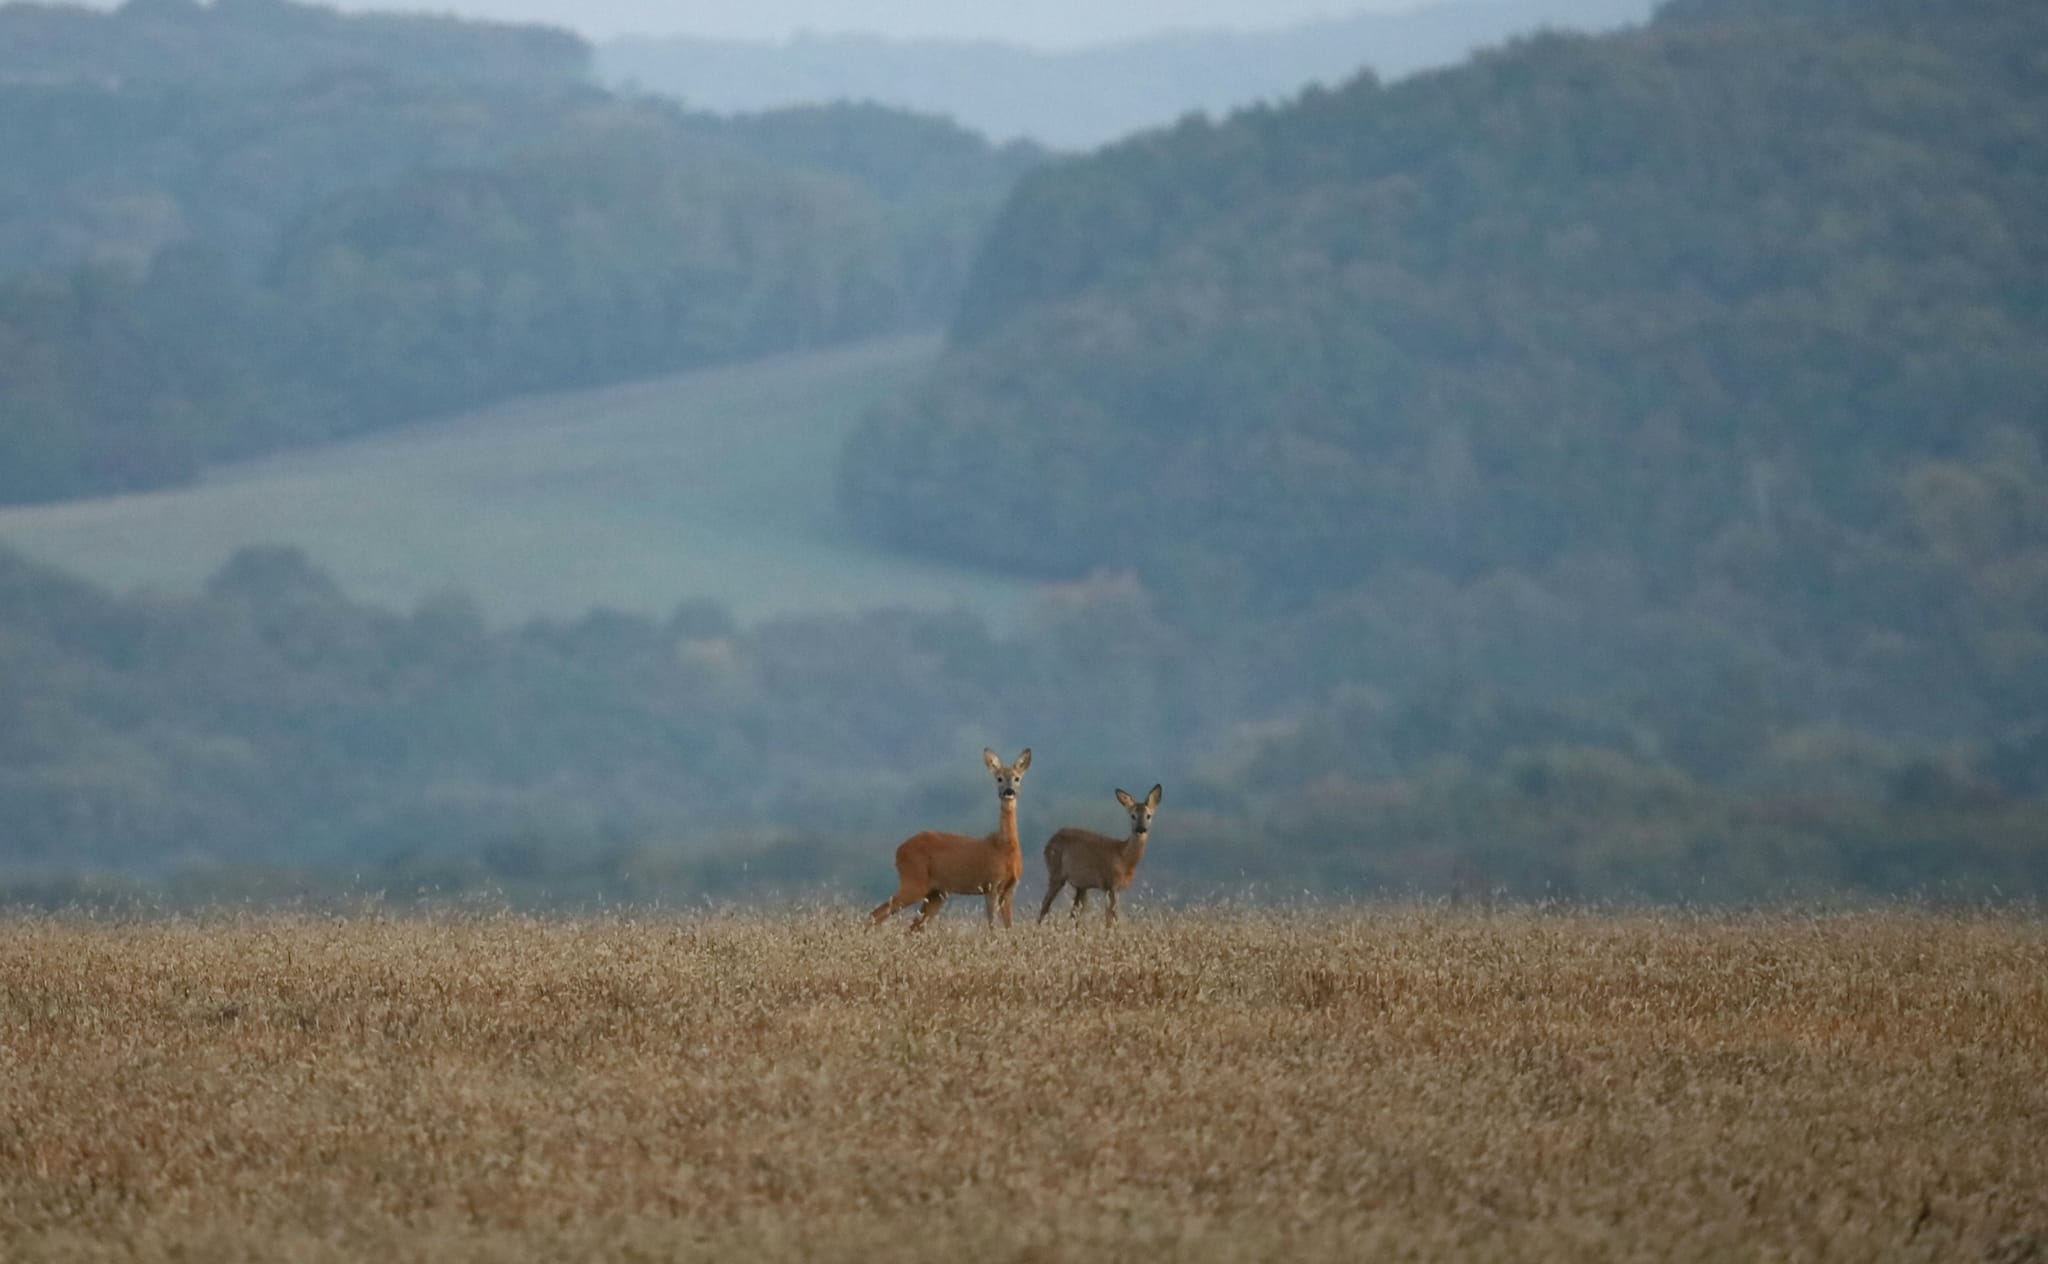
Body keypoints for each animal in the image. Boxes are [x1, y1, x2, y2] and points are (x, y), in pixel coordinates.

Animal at [868, 745, 1032, 930]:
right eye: (999, 779)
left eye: (1017, 778)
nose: (1008, 791)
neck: (1004, 847)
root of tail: (898, 851)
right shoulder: (991, 884)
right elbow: (991, 925)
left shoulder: (1010, 888)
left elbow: (1009, 926)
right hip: (913, 882)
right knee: (876, 914)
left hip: (936, 893)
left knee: (912, 926)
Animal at [1032, 782, 1163, 921]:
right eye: (1133, 816)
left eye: (1149, 816)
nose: (1141, 829)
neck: (1124, 857)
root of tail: (1050, 841)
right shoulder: (1111, 884)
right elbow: (1111, 918)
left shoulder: (1115, 888)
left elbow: (1109, 916)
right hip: (1056, 873)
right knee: (1045, 905)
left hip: (1081, 885)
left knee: (1073, 913)